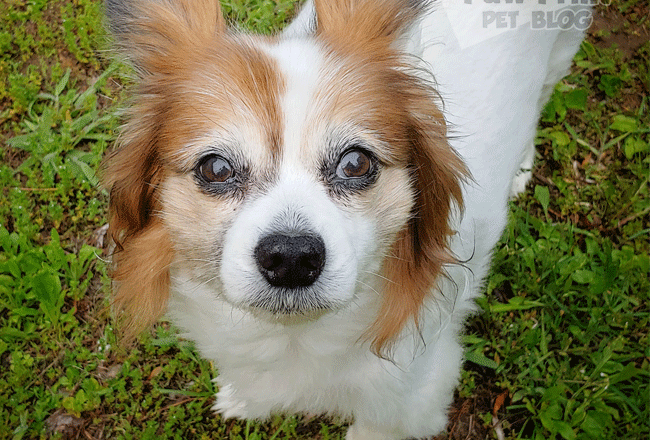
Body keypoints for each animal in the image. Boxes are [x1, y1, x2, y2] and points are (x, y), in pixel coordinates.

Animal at [102, 1, 588, 438]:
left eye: (355, 163)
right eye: (216, 169)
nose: (292, 257)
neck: (296, 338)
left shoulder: (409, 403)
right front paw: (243, 399)